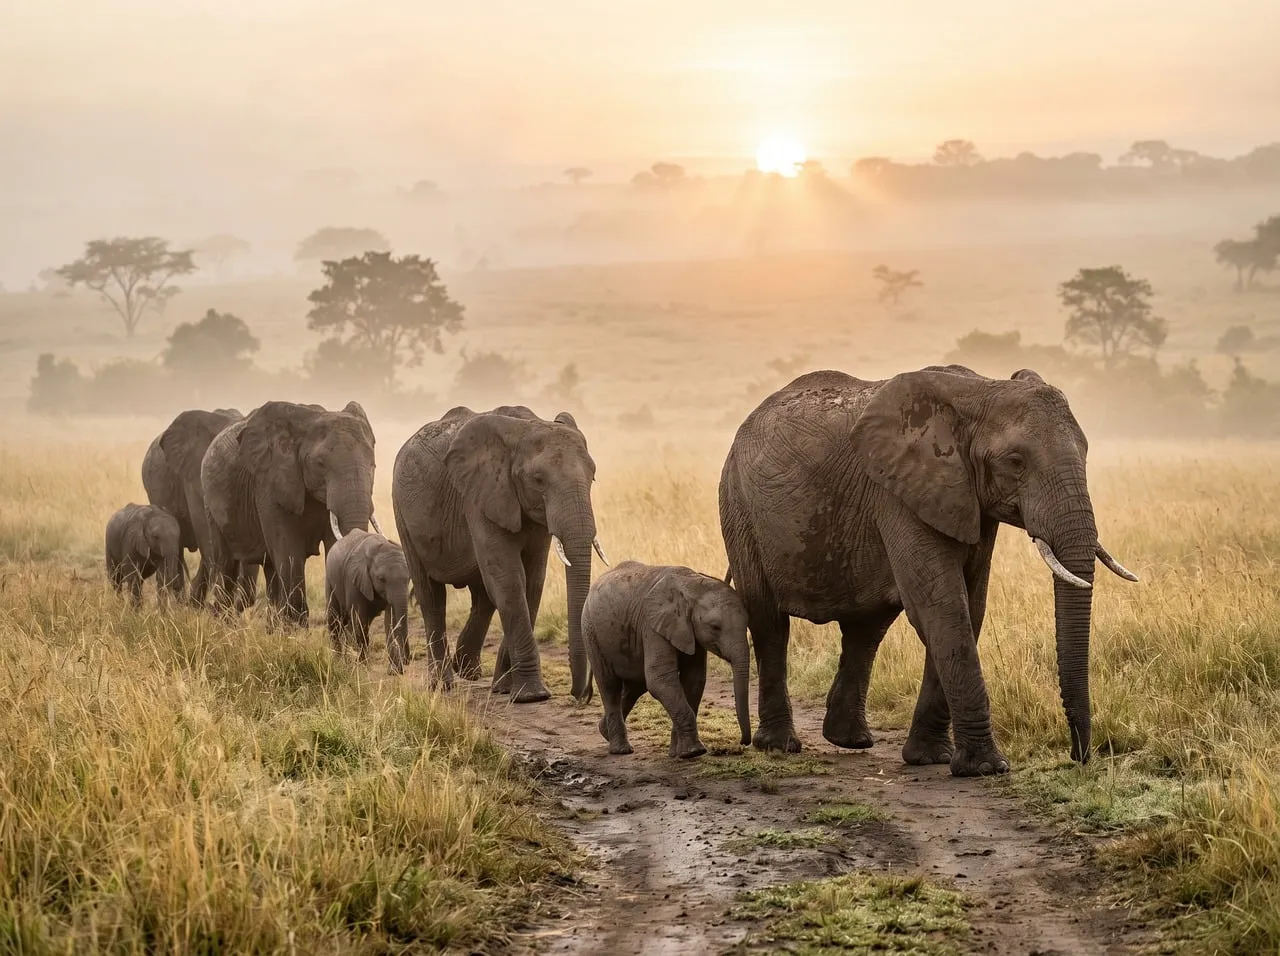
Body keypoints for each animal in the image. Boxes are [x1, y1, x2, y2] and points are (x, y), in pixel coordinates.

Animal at [200, 400, 383, 626]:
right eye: (320, 464)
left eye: (373, 465)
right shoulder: (269, 483)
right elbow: (288, 549)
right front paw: (296, 627)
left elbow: (333, 544)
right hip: (210, 504)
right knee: (226, 564)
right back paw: (224, 624)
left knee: (270, 567)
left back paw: (272, 626)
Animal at [325, 529, 411, 674]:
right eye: (381, 579)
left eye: (409, 578)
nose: (407, 661)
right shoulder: (353, 580)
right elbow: (360, 621)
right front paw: (363, 667)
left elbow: (391, 621)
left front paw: (394, 671)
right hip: (330, 580)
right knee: (335, 619)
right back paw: (339, 662)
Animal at [392, 405, 605, 702]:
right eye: (538, 480)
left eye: (593, 476)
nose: (581, 695)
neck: (526, 428)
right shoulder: (480, 495)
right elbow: (510, 581)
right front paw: (532, 696)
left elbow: (532, 582)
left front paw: (507, 689)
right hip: (402, 512)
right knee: (430, 595)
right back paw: (443, 685)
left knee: (482, 595)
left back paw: (467, 670)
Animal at [582, 561, 752, 758]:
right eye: (715, 627)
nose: (743, 742)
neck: (694, 586)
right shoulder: (652, 626)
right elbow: (660, 679)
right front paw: (693, 752)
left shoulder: (689, 631)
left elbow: (694, 680)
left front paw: (677, 753)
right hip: (591, 632)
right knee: (610, 686)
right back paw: (621, 750)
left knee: (634, 688)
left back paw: (604, 732)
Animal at [719, 365, 1137, 776]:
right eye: (1016, 462)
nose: (1078, 757)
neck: (981, 391)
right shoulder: (899, 494)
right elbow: (942, 606)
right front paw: (985, 768)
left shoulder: (968, 501)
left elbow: (969, 606)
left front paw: (932, 758)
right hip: (739, 508)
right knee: (770, 622)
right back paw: (780, 745)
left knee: (867, 628)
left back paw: (849, 740)